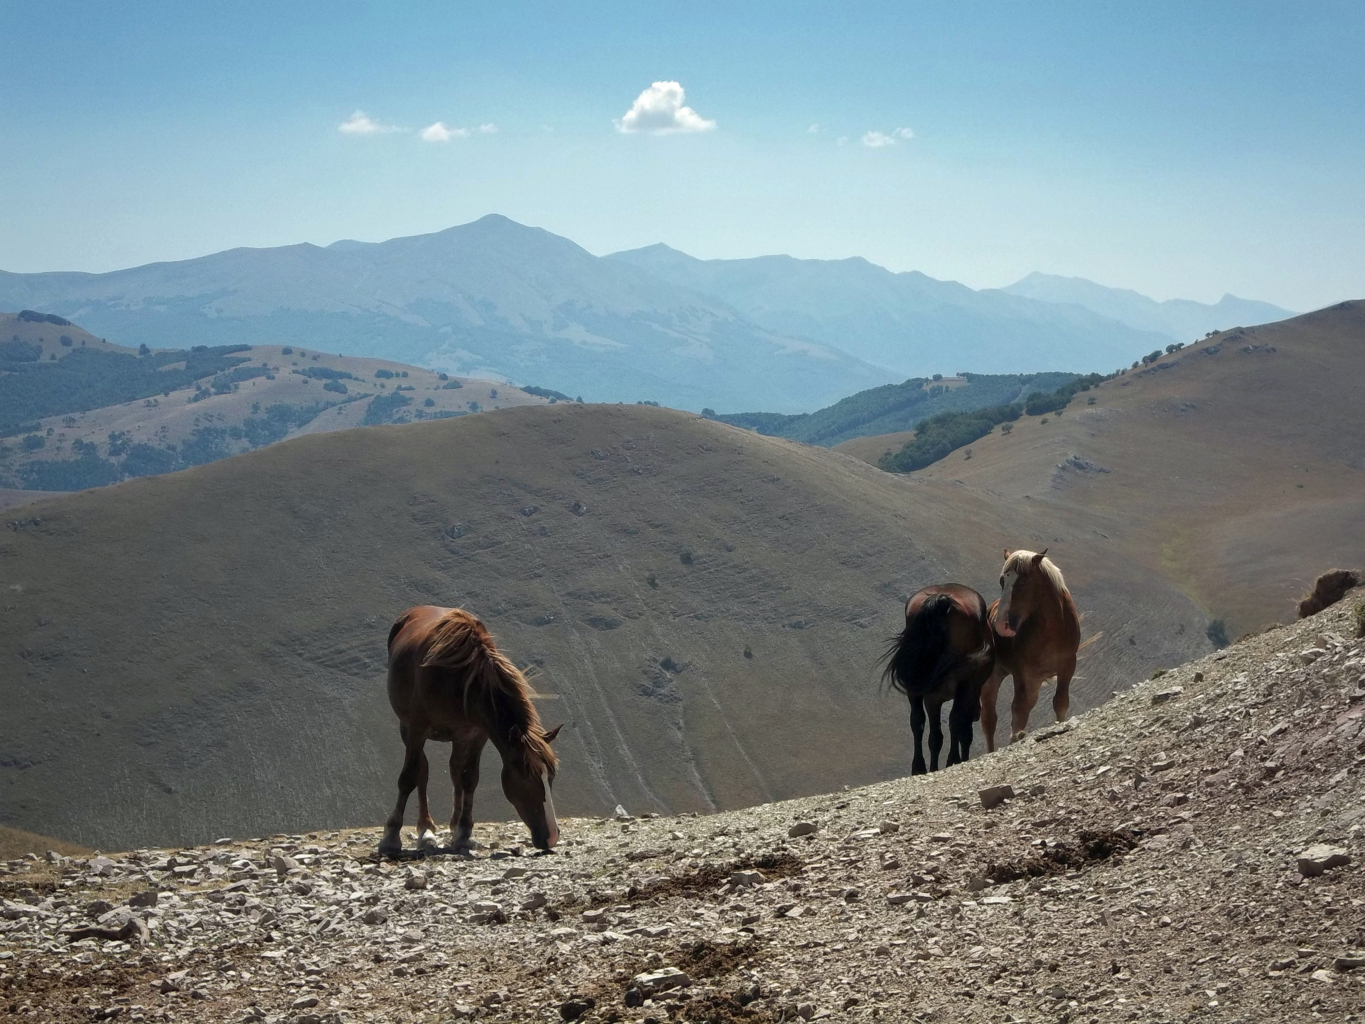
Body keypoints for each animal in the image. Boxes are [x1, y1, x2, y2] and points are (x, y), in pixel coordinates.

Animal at [379, 606, 559, 862]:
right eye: (527, 779)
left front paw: (464, 832)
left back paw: (452, 827)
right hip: (409, 730)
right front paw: (391, 837)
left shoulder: (477, 734)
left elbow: (469, 779)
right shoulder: (416, 728)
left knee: (455, 772)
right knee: (422, 772)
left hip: (458, 737)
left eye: (551, 777)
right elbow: (408, 778)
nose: (552, 837)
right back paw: (426, 830)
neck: (460, 678)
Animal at [884, 581, 993, 775]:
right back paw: (952, 760)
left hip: (916, 685)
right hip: (962, 682)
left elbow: (935, 737)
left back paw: (919, 767)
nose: (977, 714)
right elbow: (963, 730)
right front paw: (958, 759)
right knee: (955, 720)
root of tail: (942, 598)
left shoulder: (932, 698)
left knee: (917, 721)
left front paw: (933, 767)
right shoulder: (966, 689)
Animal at [982, 548, 1075, 748]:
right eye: (1002, 581)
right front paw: (1016, 739)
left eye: (1023, 582)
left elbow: (1060, 702)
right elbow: (1019, 712)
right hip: (994, 676)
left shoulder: (1067, 666)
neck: (1052, 630)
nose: (1001, 625)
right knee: (989, 719)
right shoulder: (1023, 675)